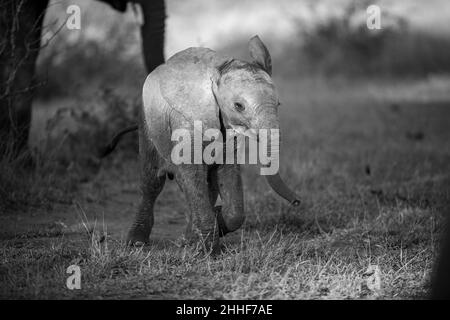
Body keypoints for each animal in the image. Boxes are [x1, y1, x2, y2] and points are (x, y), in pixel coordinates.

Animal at [102, 35, 298, 255]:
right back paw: (137, 243)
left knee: (206, 185)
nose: (297, 202)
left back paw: (188, 238)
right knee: (152, 182)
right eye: (239, 106)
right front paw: (209, 251)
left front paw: (214, 227)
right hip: (147, 126)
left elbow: (227, 174)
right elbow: (191, 172)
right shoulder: (184, 122)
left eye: (279, 104)